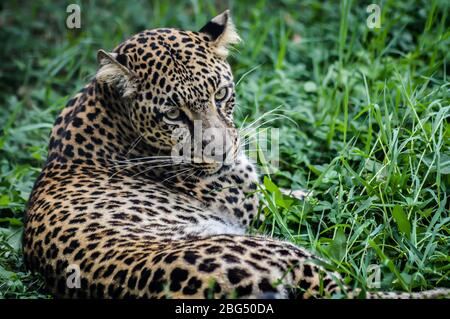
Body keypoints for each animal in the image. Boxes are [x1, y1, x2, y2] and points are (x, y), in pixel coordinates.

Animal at [24, 9, 450, 300]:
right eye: (173, 113)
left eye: (220, 94)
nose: (222, 153)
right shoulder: (254, 206)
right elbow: (325, 197)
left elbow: (312, 191)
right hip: (279, 250)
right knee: (355, 291)